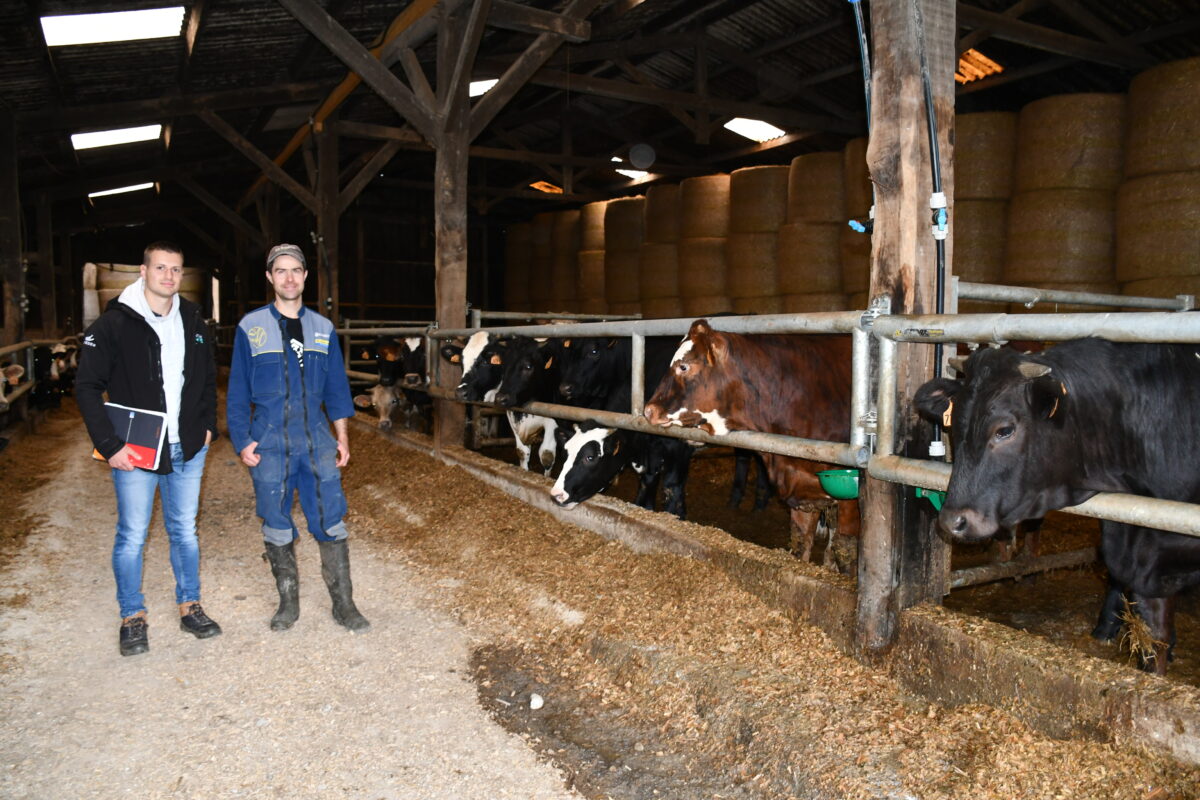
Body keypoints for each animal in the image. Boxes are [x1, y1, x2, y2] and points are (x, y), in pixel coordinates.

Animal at [643, 319, 859, 568]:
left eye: (684, 367)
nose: (648, 410)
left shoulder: (850, 496)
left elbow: (845, 549)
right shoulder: (802, 491)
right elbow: (801, 543)